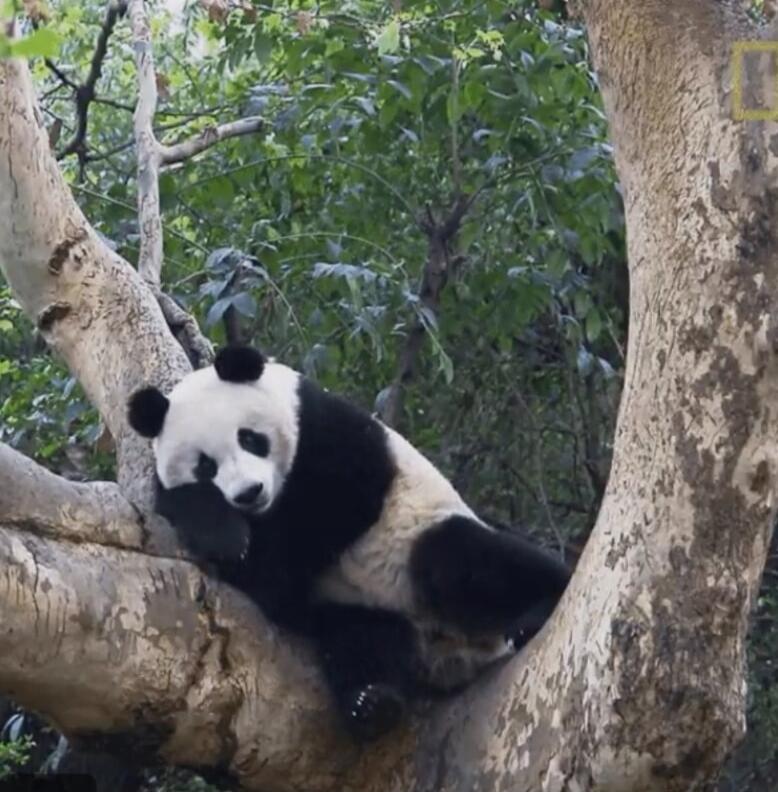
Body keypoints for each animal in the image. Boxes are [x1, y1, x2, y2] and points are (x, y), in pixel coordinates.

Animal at [128, 345, 571, 742]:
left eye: (250, 438)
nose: (249, 493)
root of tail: (454, 653)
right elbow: (248, 566)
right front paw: (227, 536)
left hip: (423, 535)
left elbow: (339, 508)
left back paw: (539, 607)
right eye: (205, 465)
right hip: (361, 609)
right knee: (365, 640)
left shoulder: (331, 435)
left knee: (465, 562)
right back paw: (373, 704)